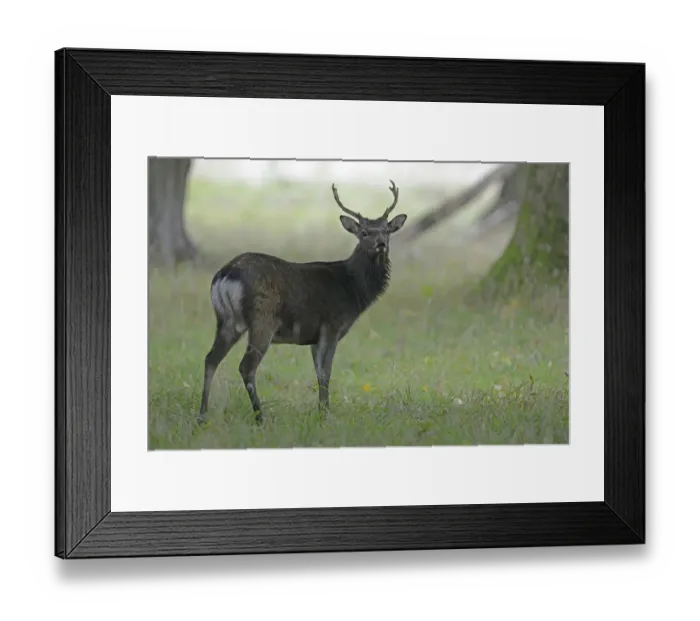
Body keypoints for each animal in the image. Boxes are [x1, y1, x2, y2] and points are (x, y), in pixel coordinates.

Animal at [197, 180, 408, 426]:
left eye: (387, 230)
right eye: (364, 232)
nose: (381, 243)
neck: (352, 288)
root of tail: (225, 274)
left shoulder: (313, 337)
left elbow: (318, 373)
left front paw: (321, 411)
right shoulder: (331, 326)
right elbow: (326, 373)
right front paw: (325, 415)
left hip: (227, 321)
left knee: (210, 359)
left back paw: (202, 416)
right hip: (262, 319)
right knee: (246, 366)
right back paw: (260, 417)